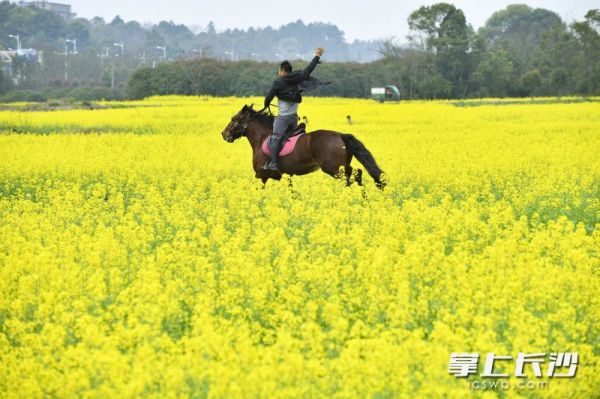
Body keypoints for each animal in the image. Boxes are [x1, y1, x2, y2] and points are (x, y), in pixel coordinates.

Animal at [220, 104, 384, 189]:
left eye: (234, 119)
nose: (224, 134)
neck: (262, 137)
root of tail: (341, 135)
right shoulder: (285, 176)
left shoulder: (261, 175)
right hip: (343, 166)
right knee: (357, 174)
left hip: (334, 169)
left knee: (350, 179)